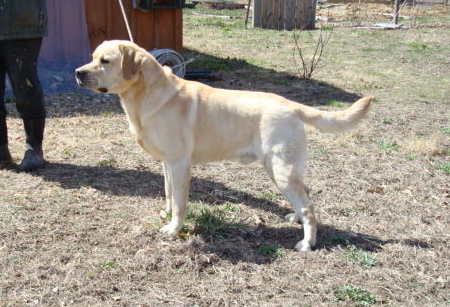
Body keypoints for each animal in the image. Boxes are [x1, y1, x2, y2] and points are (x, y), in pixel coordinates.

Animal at [75, 40, 372, 253]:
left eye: (105, 61)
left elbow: (180, 202)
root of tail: (292, 105)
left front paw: (174, 229)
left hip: (281, 170)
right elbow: (169, 194)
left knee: (310, 208)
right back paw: (295, 219)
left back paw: (306, 243)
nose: (78, 72)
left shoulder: (180, 163)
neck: (146, 95)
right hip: (280, 169)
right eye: (92, 57)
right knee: (306, 196)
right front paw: (166, 215)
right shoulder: (167, 163)